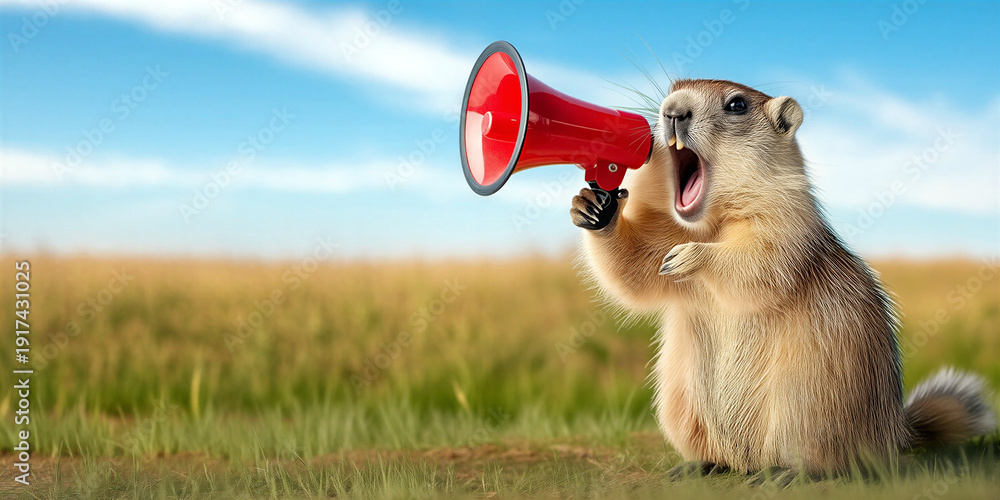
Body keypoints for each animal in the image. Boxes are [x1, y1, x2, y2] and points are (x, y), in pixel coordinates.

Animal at [571, 79, 996, 480]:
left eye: (737, 104)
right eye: (673, 88)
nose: (672, 110)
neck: (710, 223)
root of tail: (893, 435)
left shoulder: (787, 222)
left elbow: (759, 262)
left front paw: (690, 256)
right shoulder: (662, 229)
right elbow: (636, 268)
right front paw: (593, 207)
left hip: (805, 407)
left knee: (831, 462)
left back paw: (788, 473)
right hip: (681, 404)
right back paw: (699, 465)